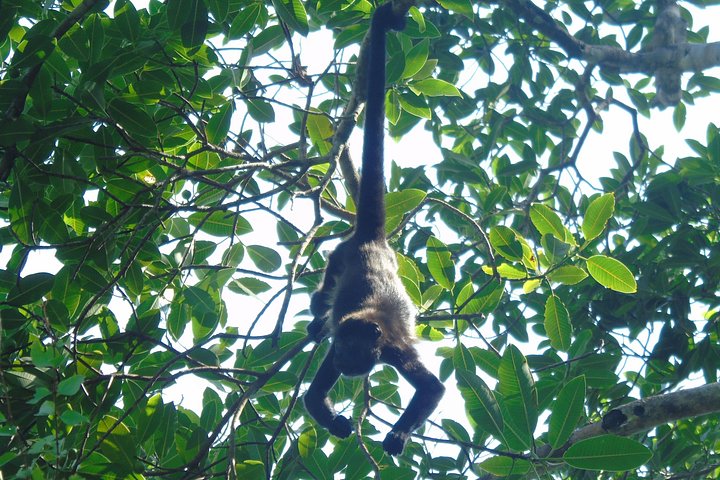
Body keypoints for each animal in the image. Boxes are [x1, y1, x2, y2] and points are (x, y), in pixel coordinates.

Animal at [303, 2, 445, 456]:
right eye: (345, 347)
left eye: (356, 347)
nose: (345, 361)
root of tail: (371, 239)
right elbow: (313, 397)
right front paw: (335, 422)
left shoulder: (394, 349)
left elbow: (433, 388)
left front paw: (399, 434)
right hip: (338, 255)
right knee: (321, 295)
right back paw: (316, 320)